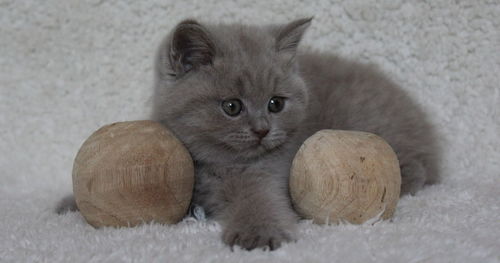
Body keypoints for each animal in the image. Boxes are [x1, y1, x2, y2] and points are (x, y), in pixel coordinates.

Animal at [150, 17, 440, 253]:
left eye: (275, 104)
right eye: (231, 107)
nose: (262, 129)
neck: (220, 163)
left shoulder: (268, 171)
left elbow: (259, 198)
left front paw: (258, 233)